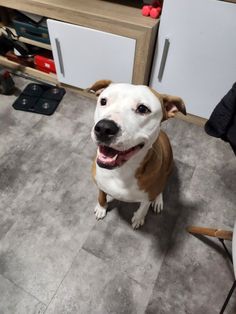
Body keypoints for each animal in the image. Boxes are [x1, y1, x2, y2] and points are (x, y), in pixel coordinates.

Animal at [89, 79, 185, 229]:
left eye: (142, 109)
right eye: (103, 101)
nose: (104, 128)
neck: (121, 171)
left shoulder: (148, 196)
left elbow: (143, 208)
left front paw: (138, 218)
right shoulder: (100, 182)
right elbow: (101, 195)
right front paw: (101, 208)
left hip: (169, 167)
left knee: (161, 187)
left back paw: (158, 200)